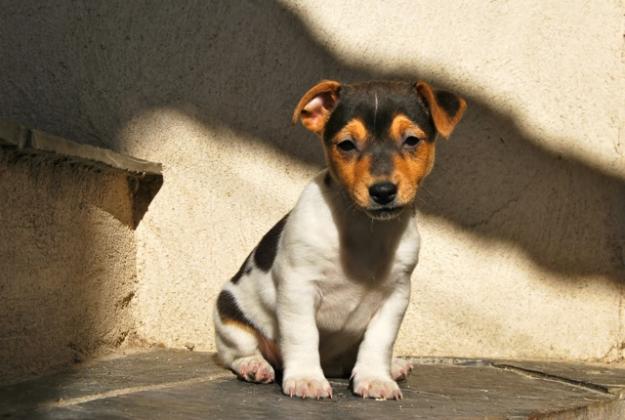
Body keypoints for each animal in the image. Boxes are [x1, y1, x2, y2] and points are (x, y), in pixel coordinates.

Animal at [213, 79, 464, 400]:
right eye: (346, 144)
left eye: (411, 140)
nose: (383, 191)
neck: (364, 228)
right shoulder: (298, 287)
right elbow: (303, 335)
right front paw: (306, 379)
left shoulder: (396, 296)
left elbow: (379, 341)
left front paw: (376, 378)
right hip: (228, 314)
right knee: (237, 352)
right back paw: (254, 366)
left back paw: (392, 366)